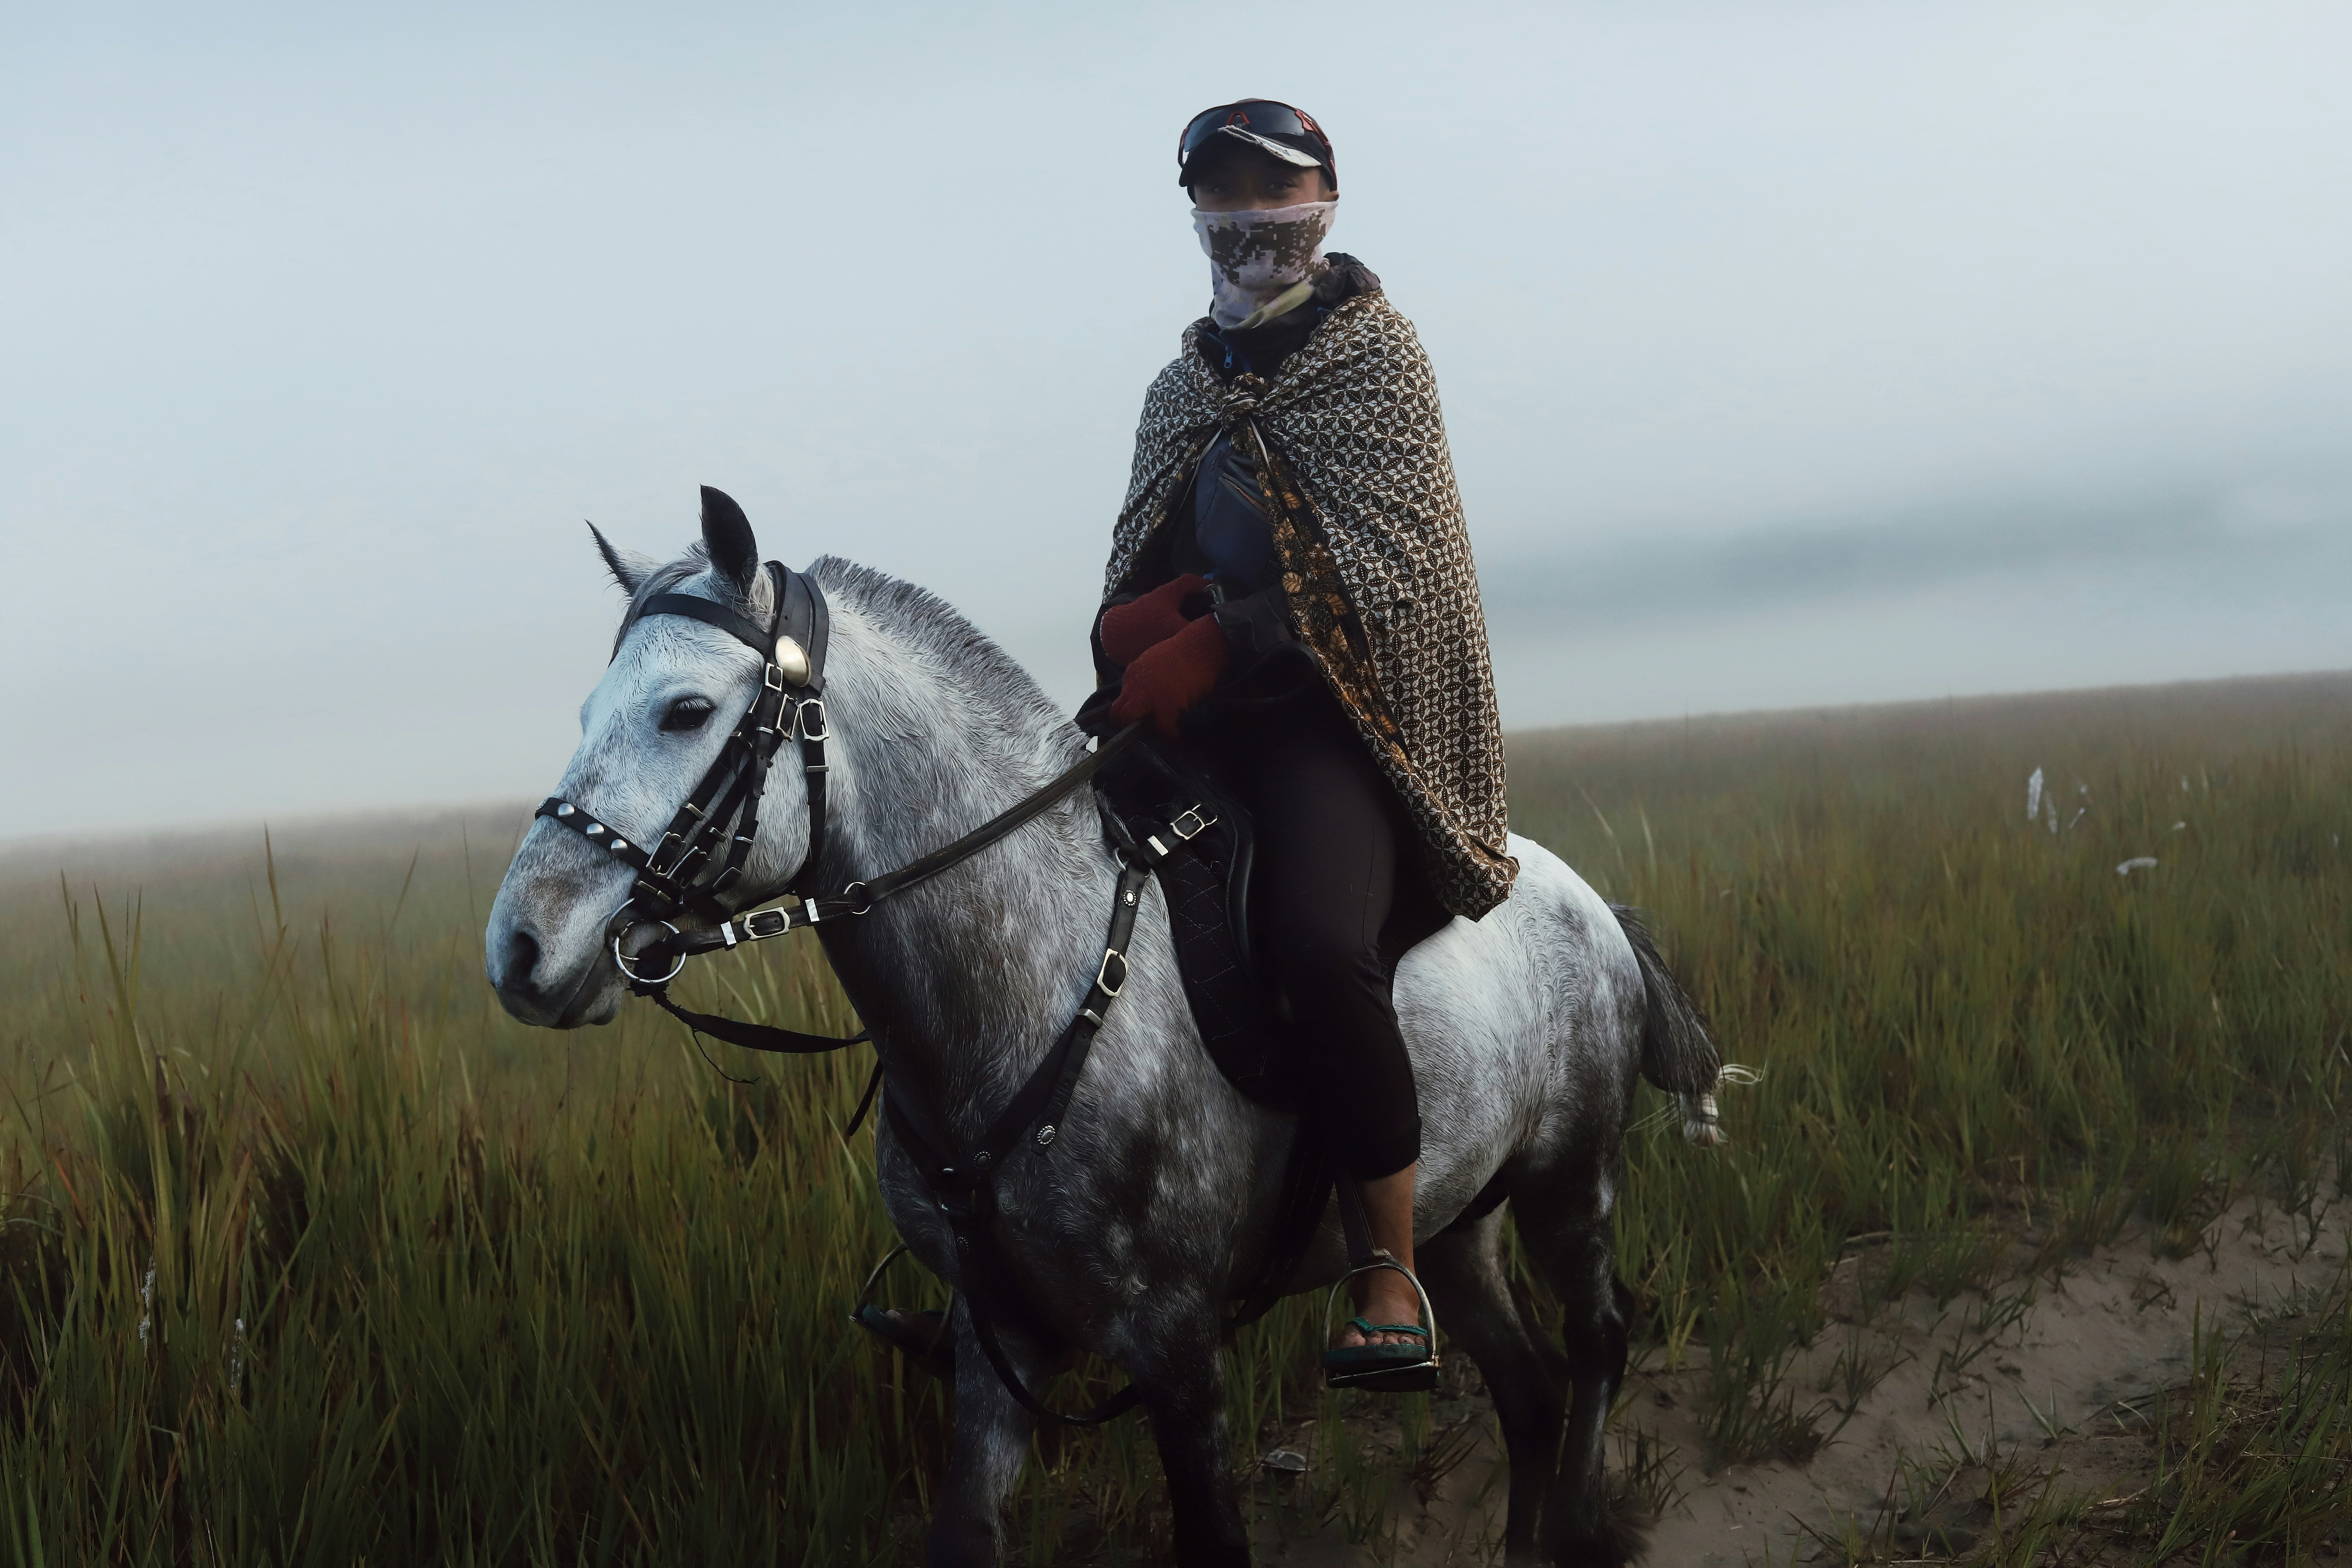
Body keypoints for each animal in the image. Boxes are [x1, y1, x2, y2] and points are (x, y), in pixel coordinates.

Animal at [484, 500, 1723, 1567]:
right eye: (588, 714)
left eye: (686, 711)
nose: (521, 951)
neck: (1033, 983)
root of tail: (1589, 904)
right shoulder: (997, 1342)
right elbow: (965, 1533)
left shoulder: (1174, 1350)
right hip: (1453, 1222)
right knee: (1528, 1390)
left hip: (1570, 1183)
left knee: (1597, 1345)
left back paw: (1579, 1523)